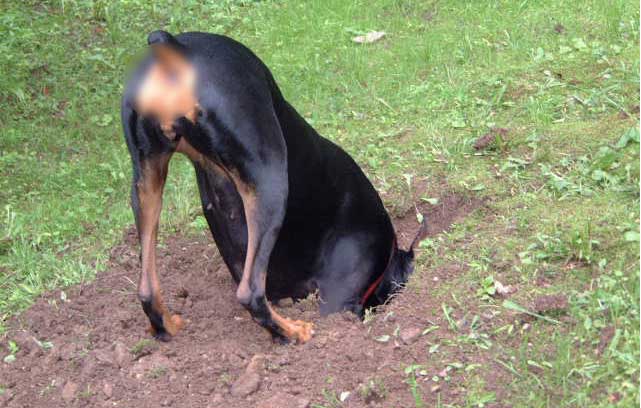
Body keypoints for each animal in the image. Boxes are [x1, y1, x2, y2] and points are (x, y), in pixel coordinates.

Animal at [123, 31, 428, 344]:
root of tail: (176, 50)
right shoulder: (338, 298)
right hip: (270, 181)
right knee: (250, 293)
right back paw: (293, 333)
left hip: (146, 180)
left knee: (146, 291)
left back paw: (167, 327)